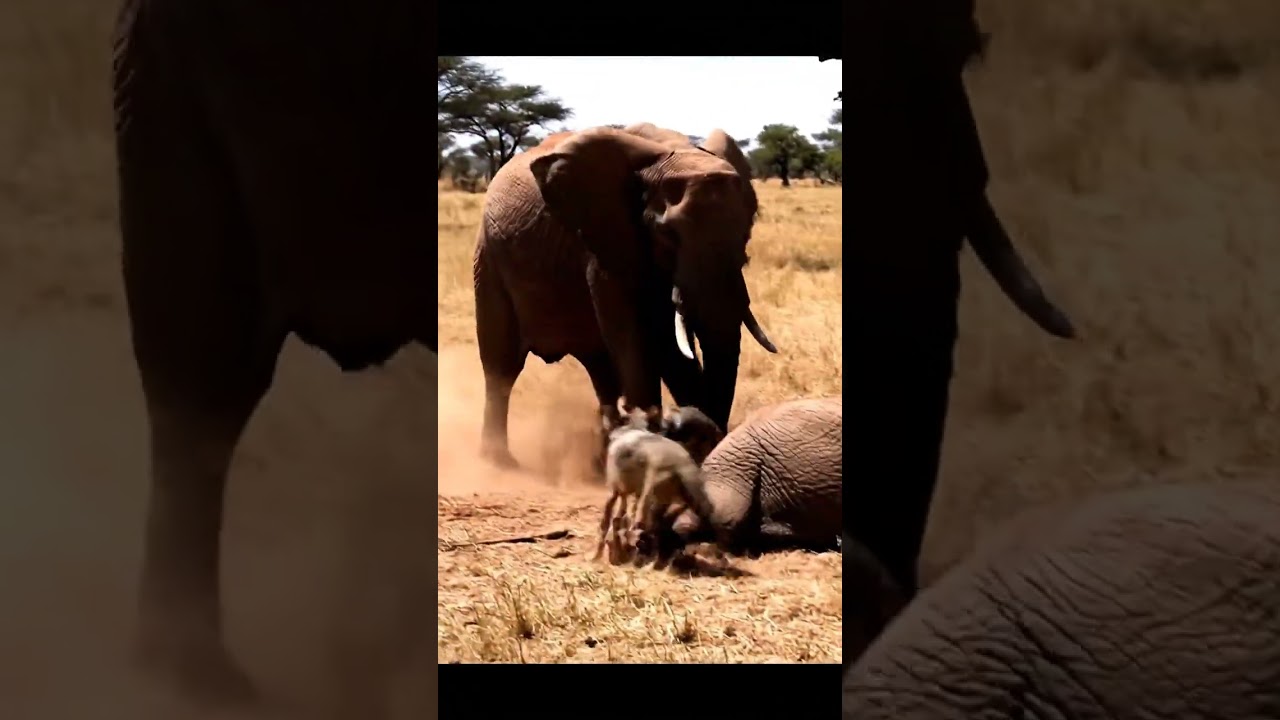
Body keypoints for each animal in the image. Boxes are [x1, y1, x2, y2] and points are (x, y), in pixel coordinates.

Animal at [473, 124, 778, 469]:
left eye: (747, 229)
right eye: (667, 235)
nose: (703, 433)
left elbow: (666, 345)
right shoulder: (606, 242)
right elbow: (637, 337)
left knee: (599, 365)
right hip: (489, 258)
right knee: (502, 365)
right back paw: (499, 461)